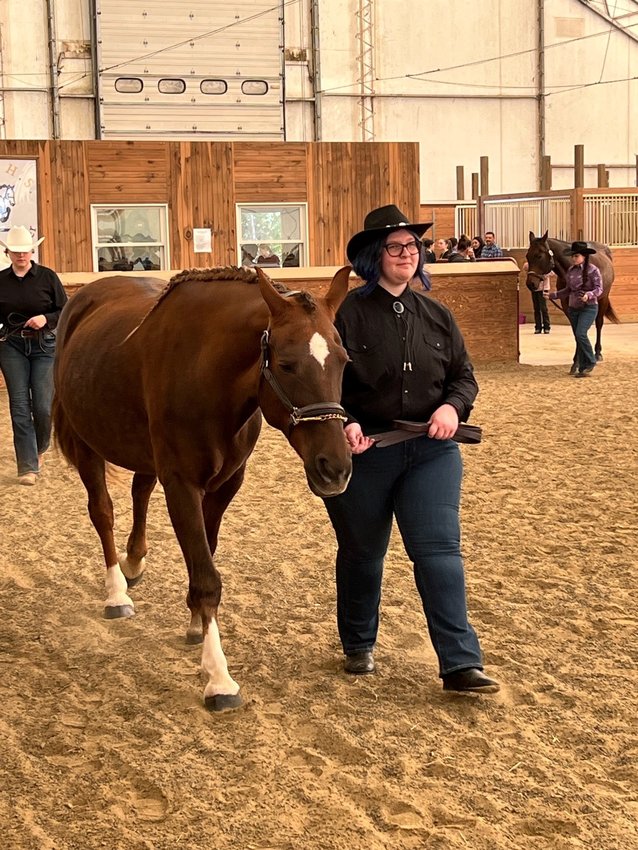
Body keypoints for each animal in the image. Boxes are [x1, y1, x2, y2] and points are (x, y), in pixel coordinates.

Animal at [53, 264, 356, 708]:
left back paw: (134, 562)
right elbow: (208, 578)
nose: (334, 467)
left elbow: (205, 555)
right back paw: (117, 593)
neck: (207, 374)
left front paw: (196, 622)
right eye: (286, 364)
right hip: (87, 445)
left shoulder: (225, 485)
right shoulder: (182, 485)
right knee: (103, 513)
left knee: (140, 491)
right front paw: (219, 678)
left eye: (343, 361)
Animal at [524, 232, 620, 368]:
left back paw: (597, 353)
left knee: (599, 324)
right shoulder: (567, 306)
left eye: (539, 255)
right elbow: (576, 332)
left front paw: (579, 362)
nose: (530, 284)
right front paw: (577, 360)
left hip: (603, 299)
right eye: (527, 256)